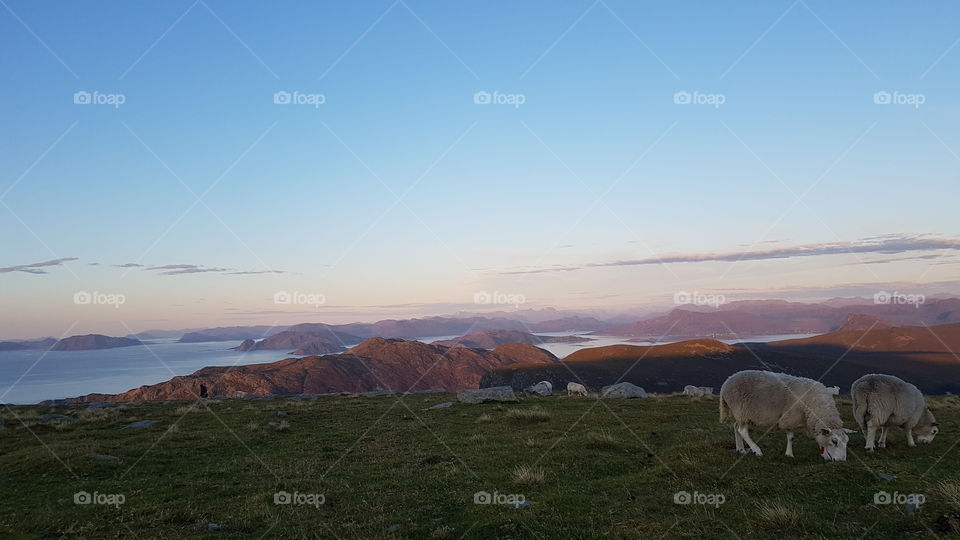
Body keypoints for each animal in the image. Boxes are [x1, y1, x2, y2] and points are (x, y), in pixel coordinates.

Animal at [720, 370, 856, 462]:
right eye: (834, 441)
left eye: (847, 442)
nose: (841, 461)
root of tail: (727, 382)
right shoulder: (790, 418)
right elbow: (791, 437)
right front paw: (789, 454)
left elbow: (819, 438)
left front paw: (825, 455)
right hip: (741, 410)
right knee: (743, 431)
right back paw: (757, 450)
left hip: (741, 414)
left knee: (736, 426)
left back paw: (741, 449)